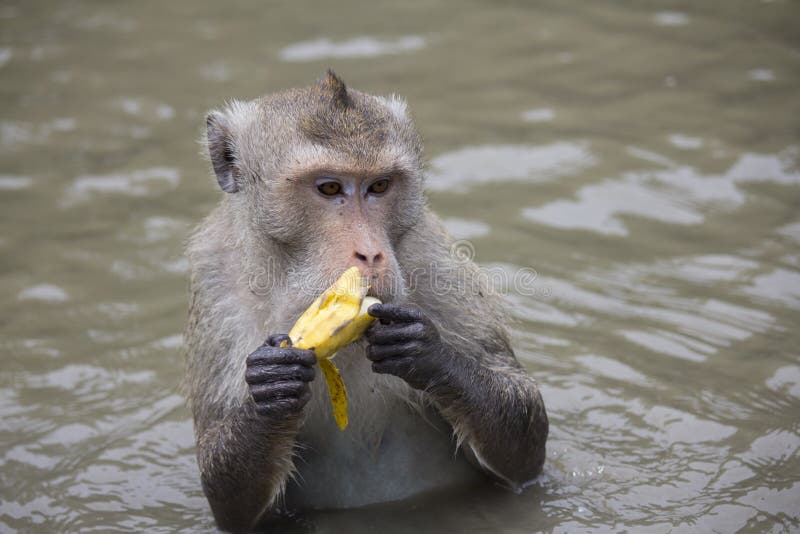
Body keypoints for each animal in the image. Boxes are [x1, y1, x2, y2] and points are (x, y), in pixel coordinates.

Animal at [183, 70, 548, 533]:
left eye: (378, 186)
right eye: (329, 187)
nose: (371, 254)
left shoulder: (438, 261)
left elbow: (524, 445)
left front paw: (428, 354)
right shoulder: (216, 289)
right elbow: (228, 498)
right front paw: (271, 387)